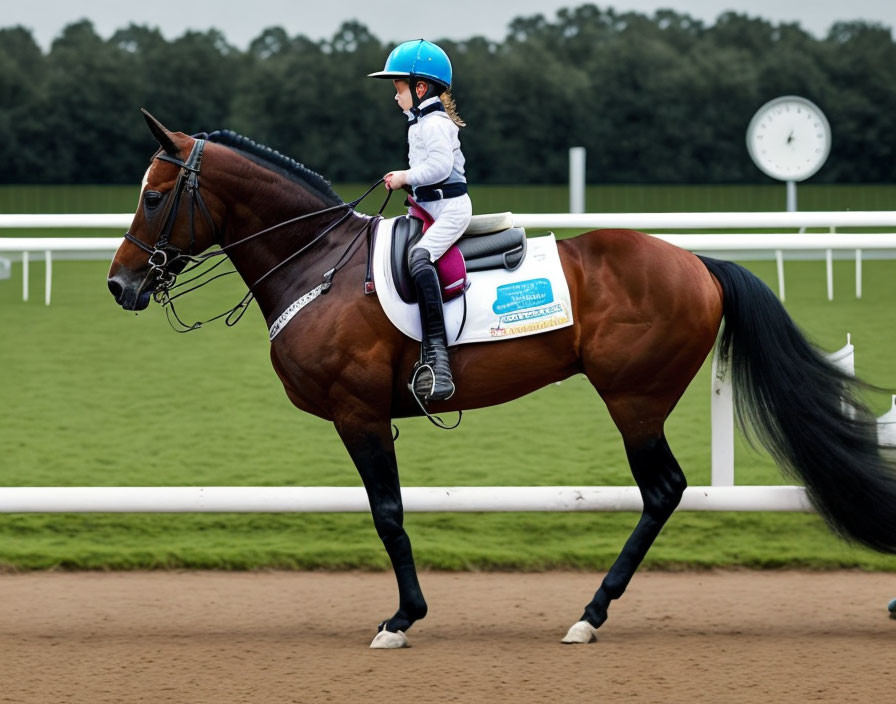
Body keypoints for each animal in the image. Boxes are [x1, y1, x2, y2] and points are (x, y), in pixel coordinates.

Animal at [107, 111, 896, 648]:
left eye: (154, 197)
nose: (120, 285)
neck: (318, 264)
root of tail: (698, 263)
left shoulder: (359, 414)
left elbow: (388, 514)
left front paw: (403, 618)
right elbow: (389, 514)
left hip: (634, 399)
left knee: (663, 490)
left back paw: (590, 614)